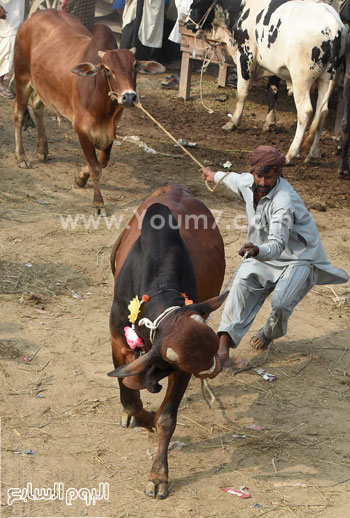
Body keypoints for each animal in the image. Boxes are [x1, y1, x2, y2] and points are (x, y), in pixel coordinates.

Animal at [13, 10, 165, 217]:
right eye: (107, 69)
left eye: (134, 66)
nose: (129, 97)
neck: (102, 105)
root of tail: (33, 17)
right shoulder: (82, 131)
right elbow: (95, 167)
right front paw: (98, 203)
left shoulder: (111, 131)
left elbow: (102, 161)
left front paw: (80, 177)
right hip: (22, 78)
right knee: (19, 114)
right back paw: (22, 157)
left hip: (43, 86)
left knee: (37, 106)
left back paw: (42, 149)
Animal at [108, 185, 226, 502]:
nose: (215, 369)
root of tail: (176, 188)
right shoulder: (117, 342)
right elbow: (130, 400)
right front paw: (143, 417)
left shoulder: (180, 369)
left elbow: (166, 418)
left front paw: (159, 475)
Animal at [186, 0, 348, 162]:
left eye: (195, 4)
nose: (187, 24)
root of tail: (333, 25)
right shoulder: (274, 68)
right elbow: (271, 91)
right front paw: (269, 122)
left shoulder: (245, 57)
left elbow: (241, 93)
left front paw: (232, 122)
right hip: (327, 79)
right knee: (322, 111)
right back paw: (313, 153)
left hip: (301, 80)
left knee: (305, 112)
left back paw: (291, 154)